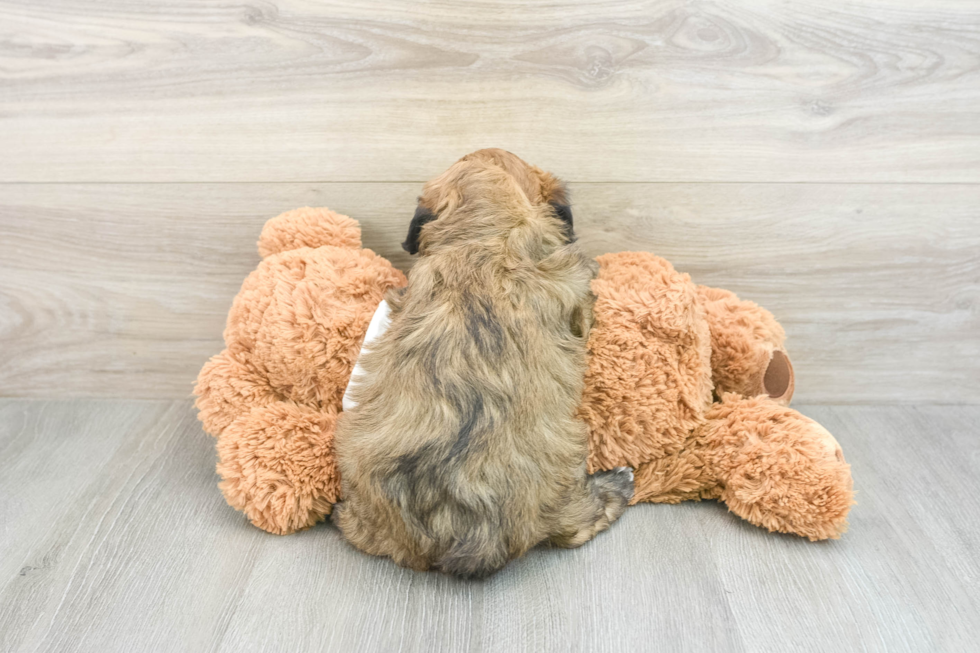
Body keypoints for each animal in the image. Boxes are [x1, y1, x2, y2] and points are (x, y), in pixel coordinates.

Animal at [334, 148, 632, 576]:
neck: (483, 235)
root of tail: (461, 529)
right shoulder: (576, 297)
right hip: (566, 478)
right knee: (576, 526)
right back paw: (618, 484)